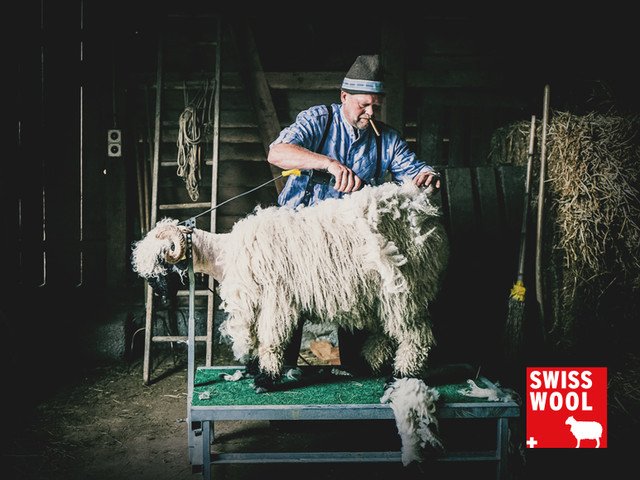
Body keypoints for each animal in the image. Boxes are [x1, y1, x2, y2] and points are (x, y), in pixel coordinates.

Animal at [132, 182, 449, 391]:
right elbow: (258, 339)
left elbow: (269, 339)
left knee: (414, 333)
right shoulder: (263, 301)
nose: (160, 296)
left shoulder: (275, 300)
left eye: (161, 263)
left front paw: (266, 378)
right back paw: (371, 363)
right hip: (380, 294)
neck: (224, 253)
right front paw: (254, 369)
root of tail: (421, 210)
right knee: (385, 331)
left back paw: (401, 374)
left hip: (404, 288)